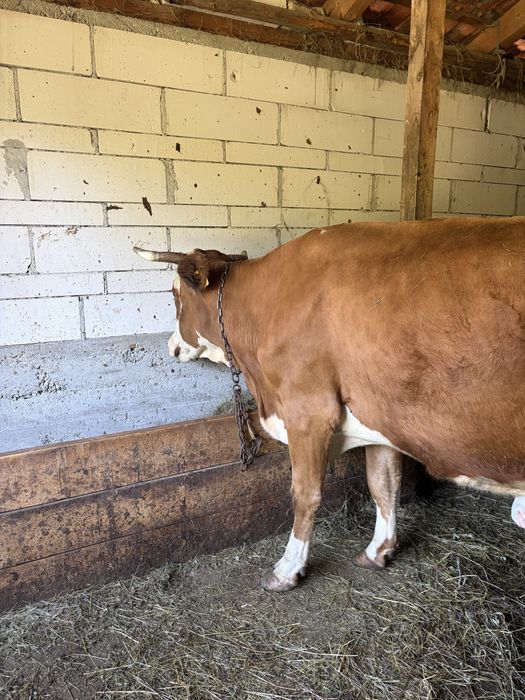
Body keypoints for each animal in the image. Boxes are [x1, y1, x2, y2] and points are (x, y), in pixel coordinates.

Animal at [134, 216, 525, 592]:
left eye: (174, 294)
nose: (172, 346)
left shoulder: (308, 411)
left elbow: (304, 494)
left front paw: (287, 570)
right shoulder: (378, 417)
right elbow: (383, 484)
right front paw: (378, 551)